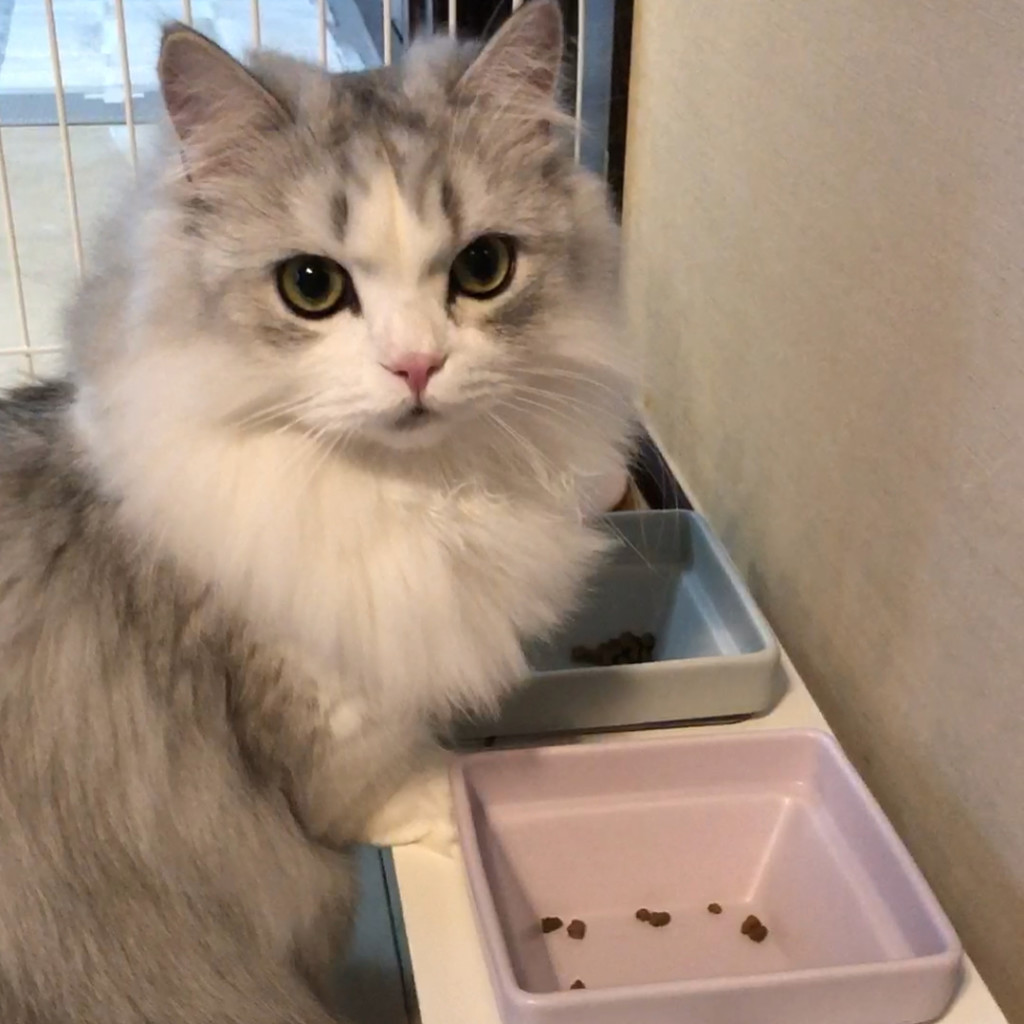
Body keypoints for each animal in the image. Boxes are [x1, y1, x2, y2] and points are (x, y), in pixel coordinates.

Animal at [0, 1, 633, 1020]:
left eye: (483, 267)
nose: (416, 365)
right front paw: (448, 795)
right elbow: (371, 783)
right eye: (311, 286)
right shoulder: (318, 692)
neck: (400, 490)